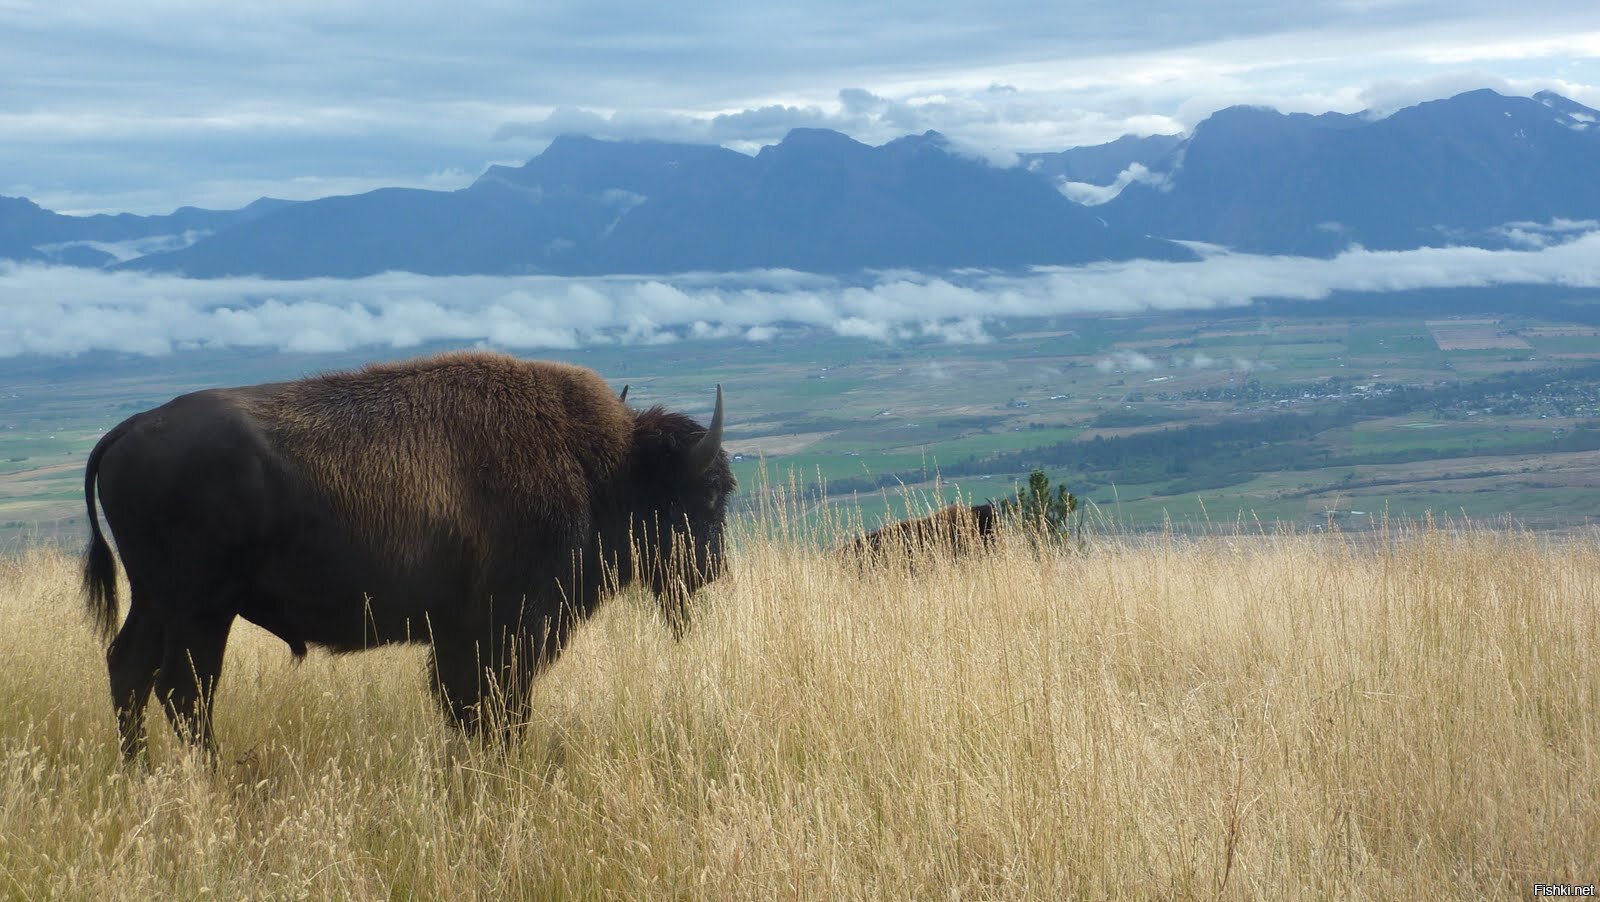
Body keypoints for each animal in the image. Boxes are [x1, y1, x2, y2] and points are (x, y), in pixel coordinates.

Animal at [84, 348, 732, 758]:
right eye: (706, 493)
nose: (714, 569)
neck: (598, 466)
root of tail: (128, 429)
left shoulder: (461, 635)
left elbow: (468, 706)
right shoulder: (507, 630)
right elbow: (495, 707)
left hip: (159, 605)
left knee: (130, 672)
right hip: (200, 612)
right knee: (183, 692)